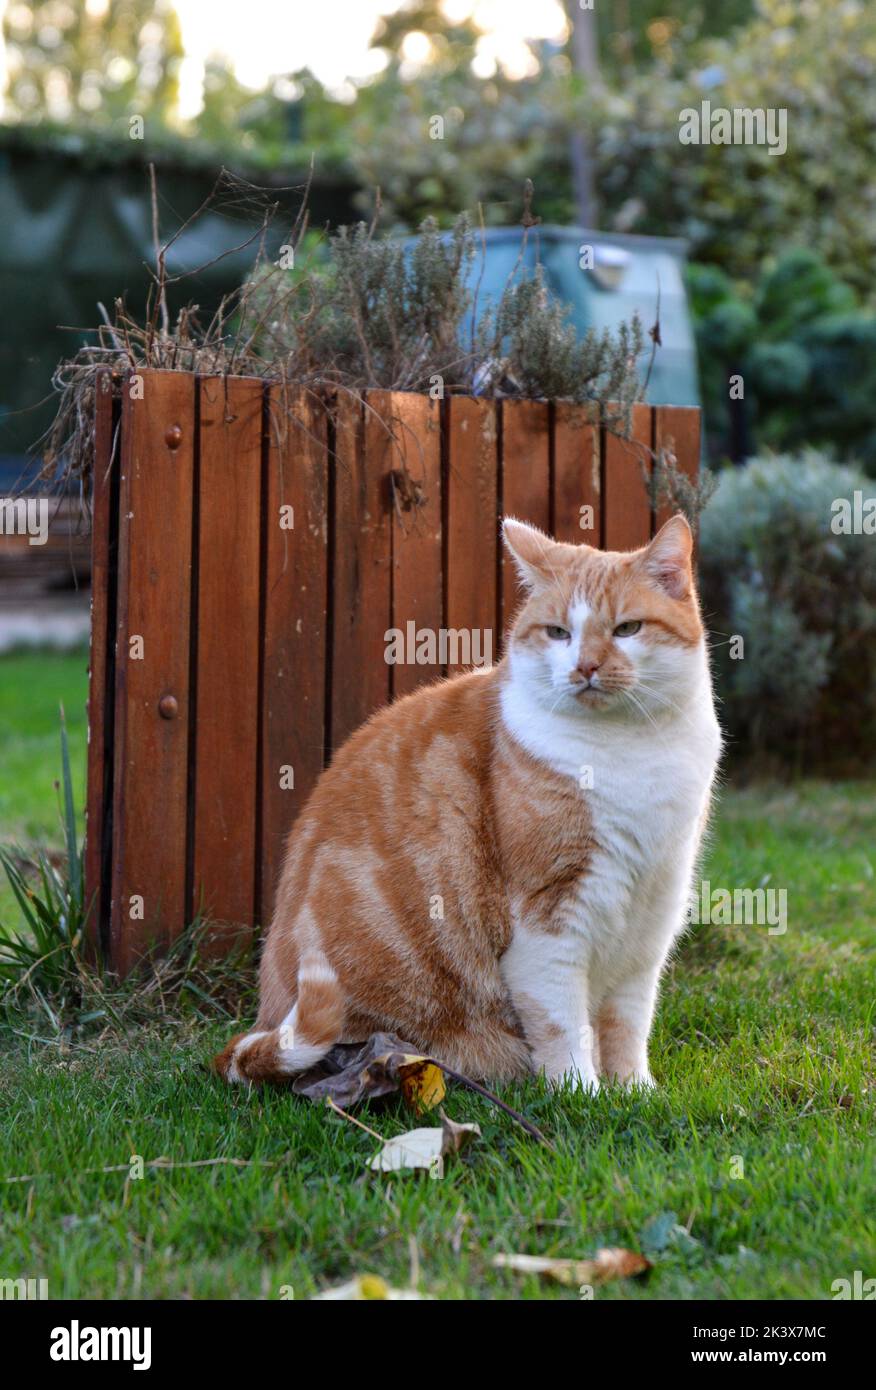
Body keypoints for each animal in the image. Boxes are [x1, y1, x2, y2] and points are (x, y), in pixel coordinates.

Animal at [216, 517, 723, 1089]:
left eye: (627, 629)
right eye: (559, 633)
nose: (586, 666)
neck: (627, 752)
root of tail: (264, 1019)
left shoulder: (651, 911)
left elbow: (628, 1023)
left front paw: (634, 1091)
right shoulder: (549, 916)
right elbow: (562, 1024)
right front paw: (583, 1092)